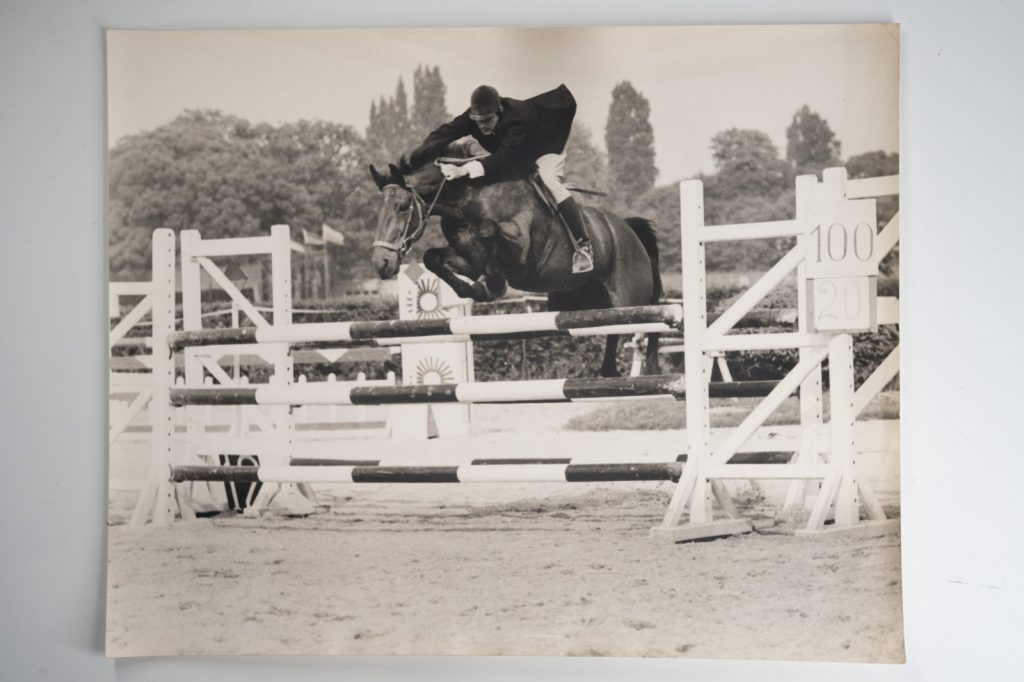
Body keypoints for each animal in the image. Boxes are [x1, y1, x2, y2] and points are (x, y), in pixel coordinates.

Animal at [368, 154, 663, 377]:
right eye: (376, 212)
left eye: (403, 207)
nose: (382, 263)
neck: (467, 202)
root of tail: (629, 230)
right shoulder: (469, 259)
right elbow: (433, 257)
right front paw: (478, 289)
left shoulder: (522, 254)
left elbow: (488, 230)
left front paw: (494, 282)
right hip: (582, 301)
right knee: (612, 327)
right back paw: (610, 370)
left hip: (630, 298)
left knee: (649, 322)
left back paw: (650, 369)